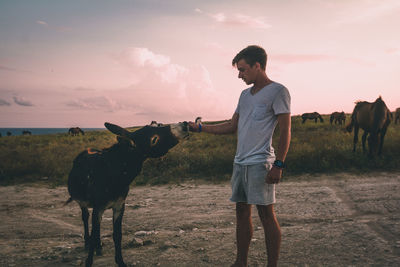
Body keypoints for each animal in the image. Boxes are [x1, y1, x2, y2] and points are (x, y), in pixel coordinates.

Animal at [65, 122, 189, 267]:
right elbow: (94, 232)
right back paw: (88, 244)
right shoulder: (98, 207)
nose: (185, 125)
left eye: (157, 124)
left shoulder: (119, 206)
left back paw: (99, 248)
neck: (114, 172)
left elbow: (117, 235)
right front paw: (89, 261)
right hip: (83, 203)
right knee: (85, 218)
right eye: (154, 139)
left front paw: (120, 261)